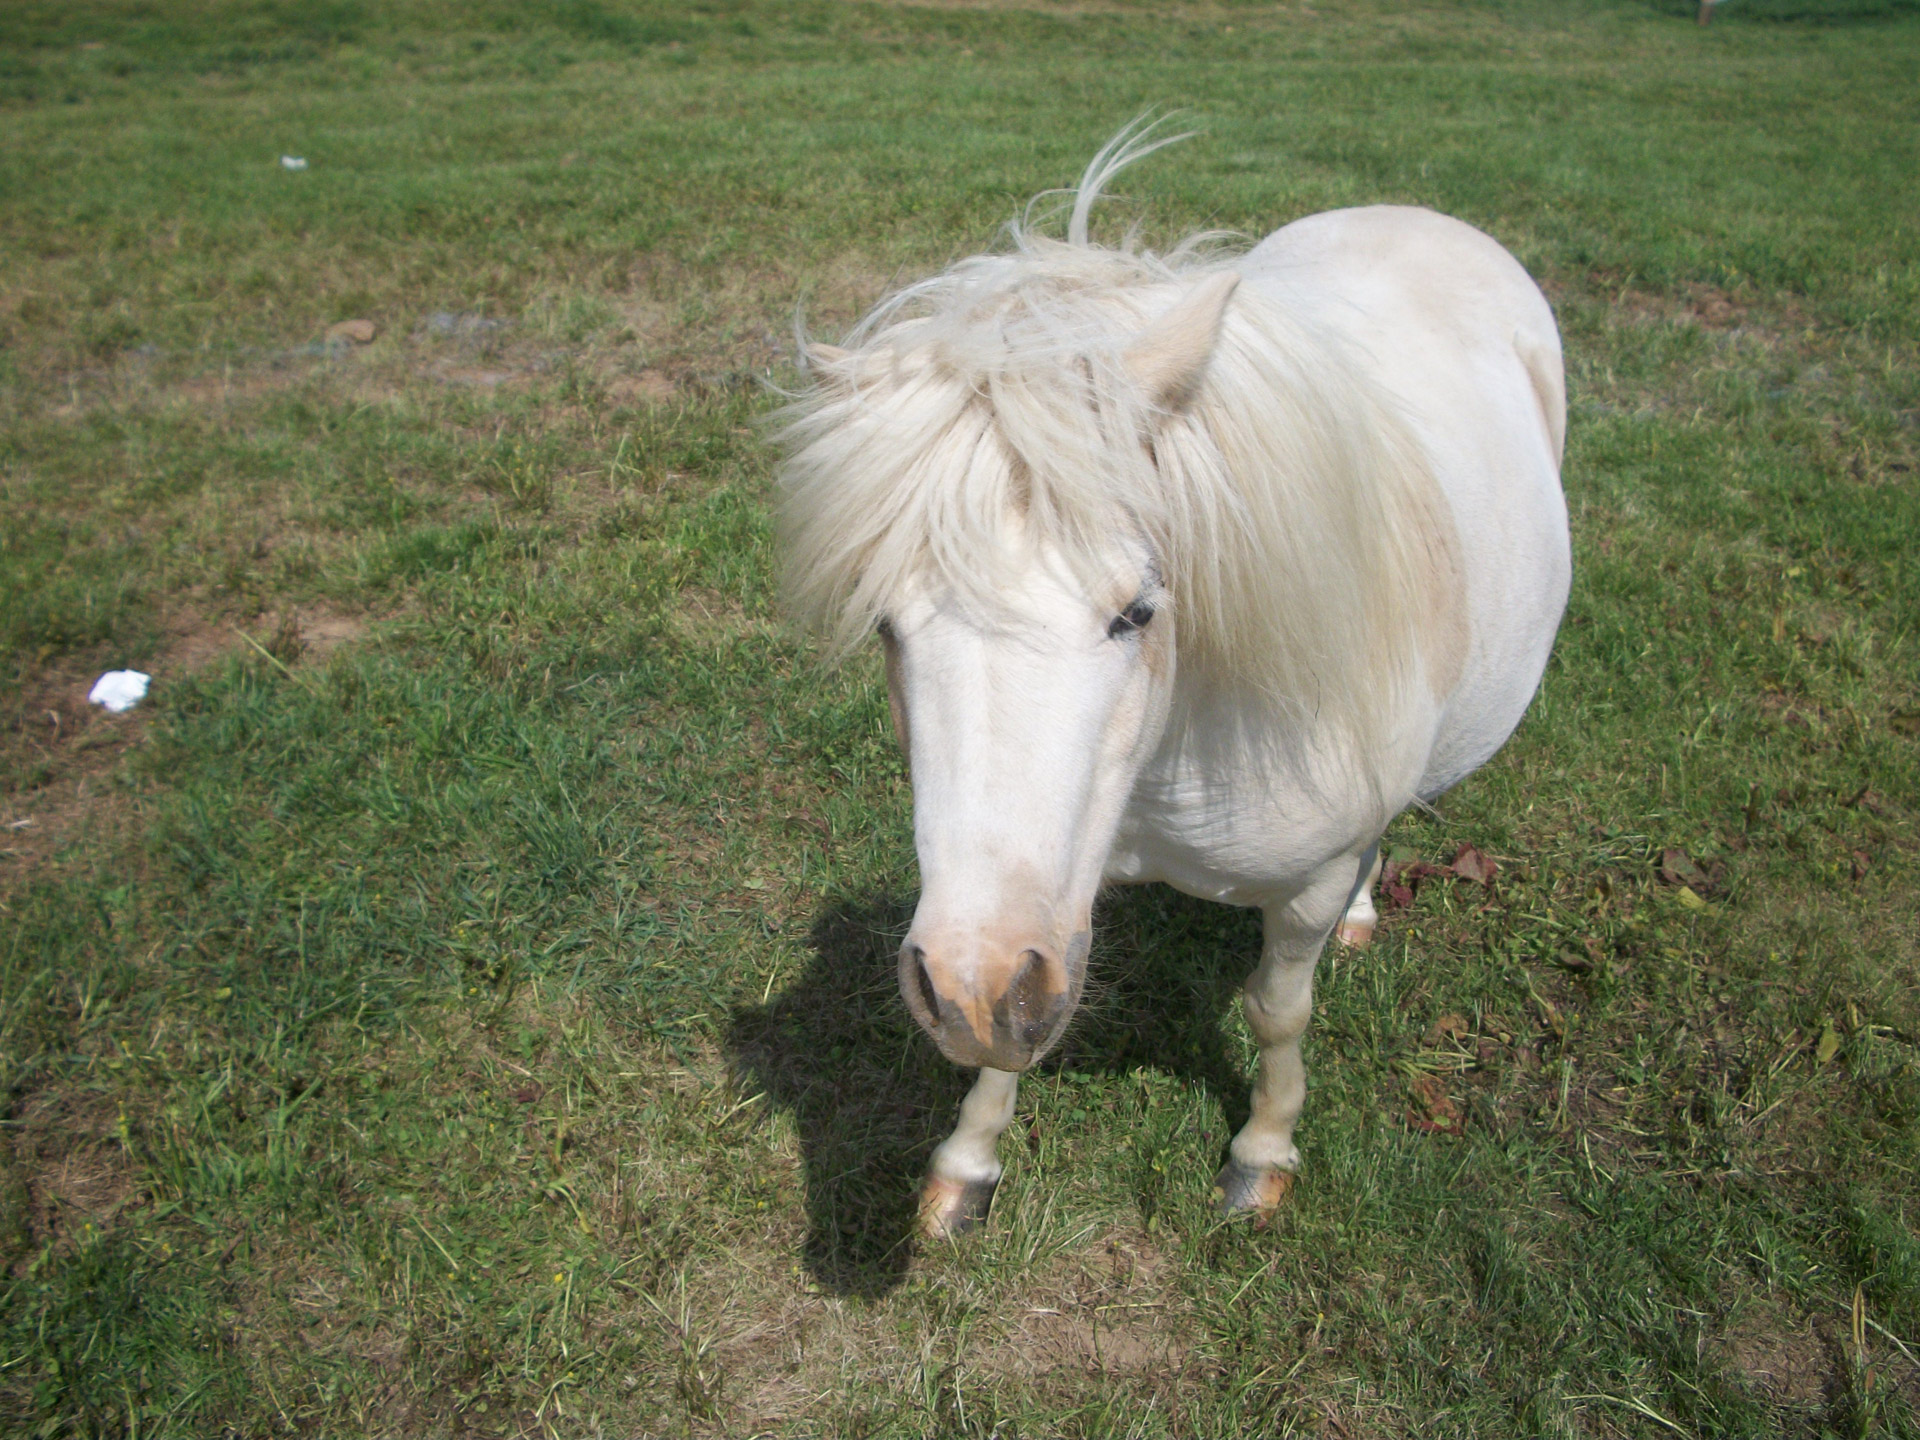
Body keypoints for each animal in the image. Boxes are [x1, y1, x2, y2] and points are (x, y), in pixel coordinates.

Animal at [771, 126, 1566, 1244]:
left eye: (1139, 610)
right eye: (887, 624)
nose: (968, 993)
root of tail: (1417, 215)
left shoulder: (1304, 885)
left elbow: (1278, 1012)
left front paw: (1262, 1155)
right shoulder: (1061, 888)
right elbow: (1015, 1042)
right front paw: (967, 1163)